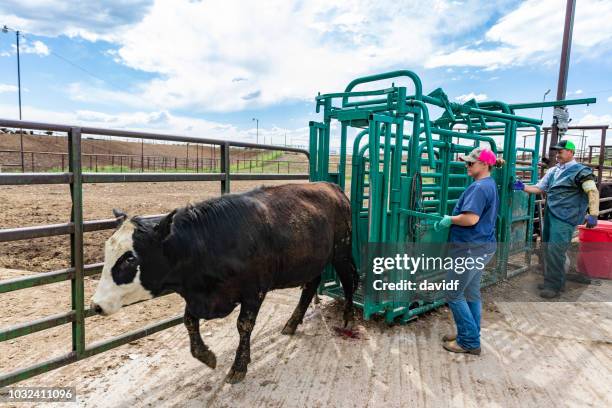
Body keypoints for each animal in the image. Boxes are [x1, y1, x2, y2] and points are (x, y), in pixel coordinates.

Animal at [91, 182, 358, 382]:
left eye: (129, 258)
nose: (96, 305)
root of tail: (331, 186)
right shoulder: (199, 295)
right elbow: (189, 321)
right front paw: (206, 356)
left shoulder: (254, 291)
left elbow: (244, 325)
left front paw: (239, 367)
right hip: (313, 260)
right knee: (311, 285)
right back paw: (292, 323)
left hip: (342, 250)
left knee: (349, 280)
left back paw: (349, 318)